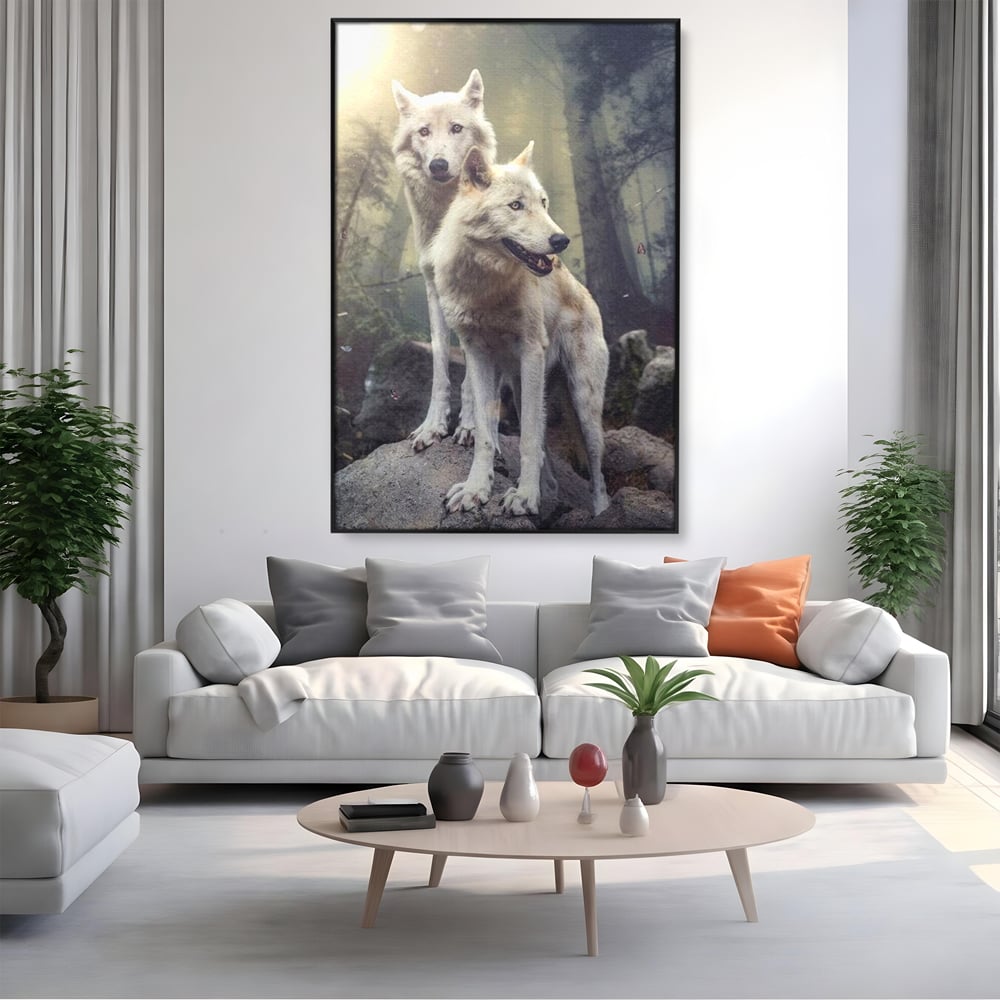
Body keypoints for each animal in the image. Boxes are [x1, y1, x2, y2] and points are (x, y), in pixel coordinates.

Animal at [391, 69, 497, 451]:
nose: (438, 165)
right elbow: (439, 366)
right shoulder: (434, 291)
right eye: (424, 132)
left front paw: (470, 426)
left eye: (456, 128)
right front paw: (432, 426)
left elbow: (473, 374)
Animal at [430, 142, 610, 518]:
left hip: (583, 403)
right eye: (516, 206)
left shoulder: (531, 353)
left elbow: (527, 438)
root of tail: (587, 295)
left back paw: (602, 511)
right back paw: (550, 492)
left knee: (597, 469)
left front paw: (525, 497)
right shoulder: (477, 356)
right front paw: (476, 489)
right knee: (545, 451)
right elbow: (486, 434)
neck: (486, 287)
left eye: (543, 203)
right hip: (520, 384)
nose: (561, 240)